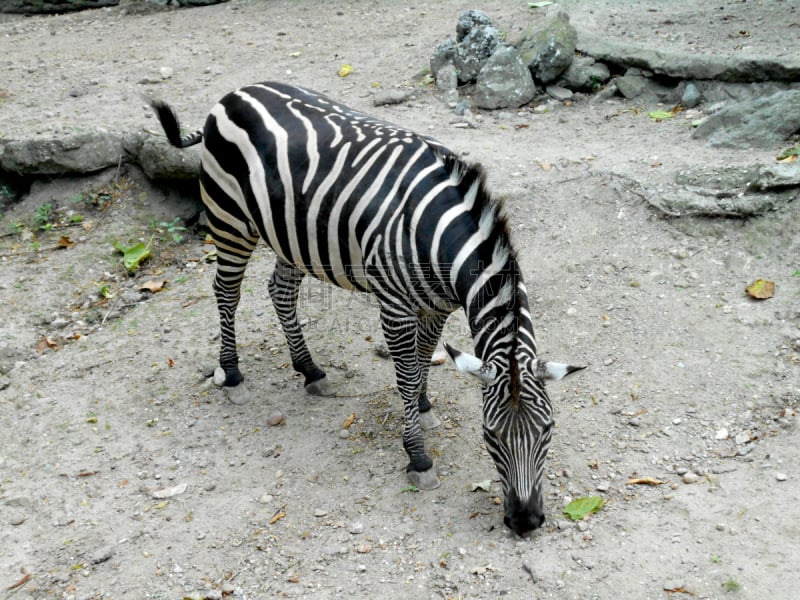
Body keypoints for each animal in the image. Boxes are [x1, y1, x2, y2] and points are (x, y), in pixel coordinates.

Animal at [150, 83, 580, 536]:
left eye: (548, 429)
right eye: (490, 435)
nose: (525, 521)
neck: (438, 236)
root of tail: (233, 93)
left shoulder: (436, 305)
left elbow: (424, 359)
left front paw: (423, 408)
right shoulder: (394, 307)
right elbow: (406, 375)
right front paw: (418, 456)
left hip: (291, 234)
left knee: (280, 291)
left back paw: (311, 371)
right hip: (229, 218)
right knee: (226, 292)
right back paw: (232, 375)